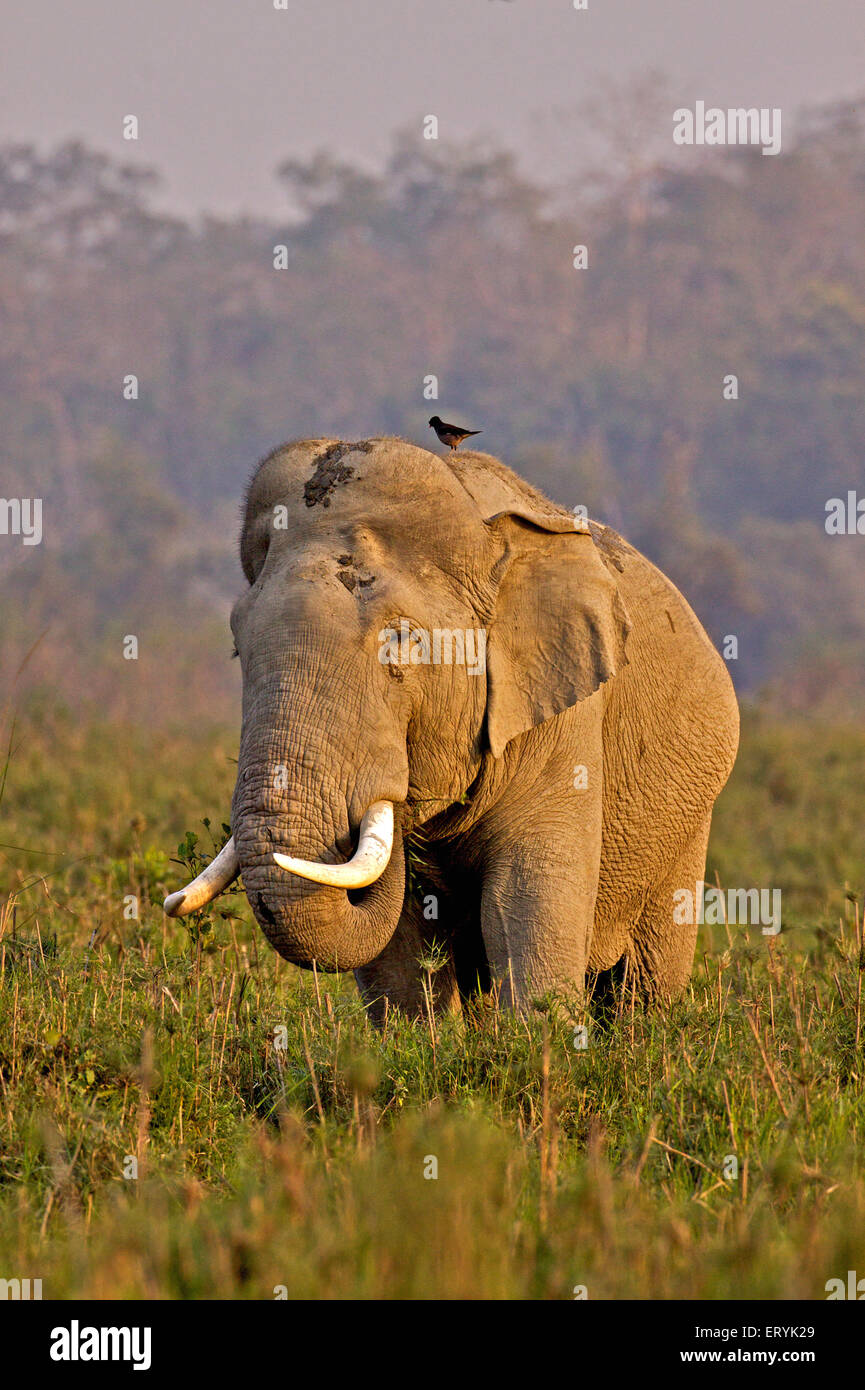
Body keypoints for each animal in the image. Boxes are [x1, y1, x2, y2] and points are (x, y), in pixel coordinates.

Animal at [166, 436, 739, 1023]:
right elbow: (400, 946)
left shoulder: (562, 715)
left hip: (686, 826)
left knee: (644, 983)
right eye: (238, 649)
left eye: (400, 640)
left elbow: (526, 893)